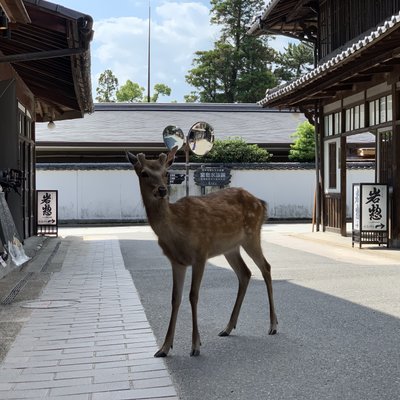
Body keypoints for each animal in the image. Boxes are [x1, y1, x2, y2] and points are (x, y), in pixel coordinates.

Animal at [126, 148, 276, 360]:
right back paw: (228, 327)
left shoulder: (200, 253)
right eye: (144, 173)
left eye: (166, 173)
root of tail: (261, 203)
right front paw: (164, 348)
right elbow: (175, 298)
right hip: (231, 248)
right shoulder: (176, 261)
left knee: (266, 267)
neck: (176, 230)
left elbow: (193, 295)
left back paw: (273, 325)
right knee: (245, 273)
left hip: (252, 235)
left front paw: (196, 346)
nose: (162, 190)